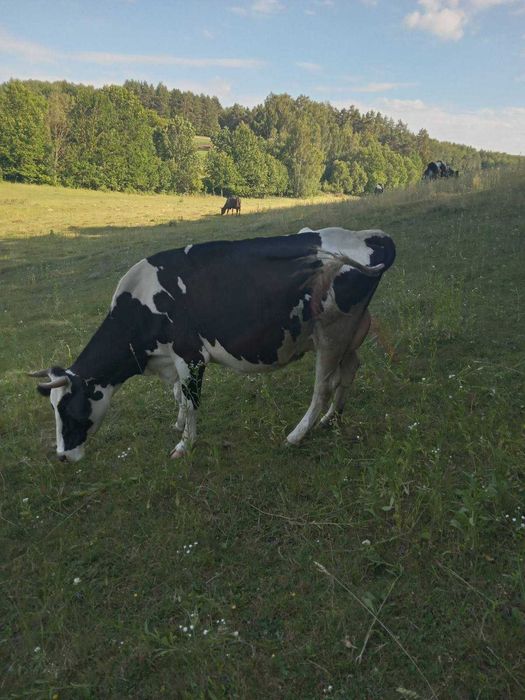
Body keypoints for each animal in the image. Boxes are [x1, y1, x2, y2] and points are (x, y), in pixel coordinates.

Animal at [29, 226, 395, 462]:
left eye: (69, 409)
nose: (62, 457)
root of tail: (369, 235)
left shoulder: (190, 355)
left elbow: (191, 401)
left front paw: (184, 445)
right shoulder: (171, 359)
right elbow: (178, 395)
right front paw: (178, 424)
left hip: (333, 331)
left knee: (322, 387)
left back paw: (297, 435)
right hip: (350, 331)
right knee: (349, 370)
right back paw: (332, 419)